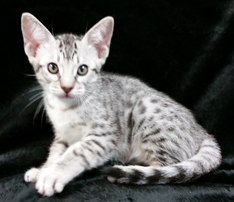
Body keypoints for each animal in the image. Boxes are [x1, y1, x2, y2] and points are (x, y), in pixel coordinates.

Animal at [21, 13, 220, 197]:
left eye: (82, 69)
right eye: (53, 68)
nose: (67, 87)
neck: (65, 108)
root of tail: (201, 131)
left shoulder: (105, 135)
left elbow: (77, 151)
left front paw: (53, 174)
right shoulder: (62, 135)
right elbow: (56, 151)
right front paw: (44, 169)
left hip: (146, 111)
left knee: (168, 167)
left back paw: (127, 172)